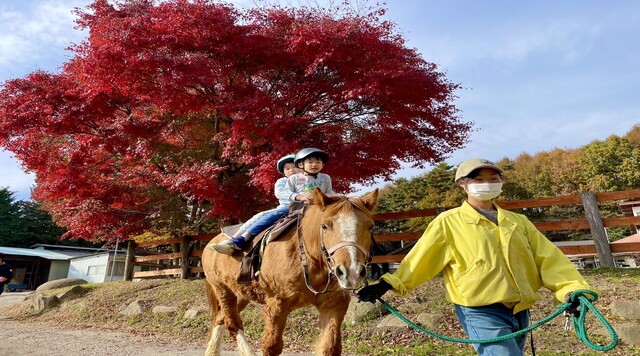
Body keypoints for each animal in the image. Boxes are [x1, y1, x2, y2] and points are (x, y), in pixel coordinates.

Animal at [202, 188, 378, 354]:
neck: (307, 259)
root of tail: (210, 243)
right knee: (233, 325)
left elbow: (330, 347)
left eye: (370, 226)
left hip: (241, 294)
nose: (352, 272)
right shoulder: (277, 305)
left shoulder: (333, 305)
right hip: (223, 290)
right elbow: (271, 347)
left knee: (220, 319)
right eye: (325, 226)